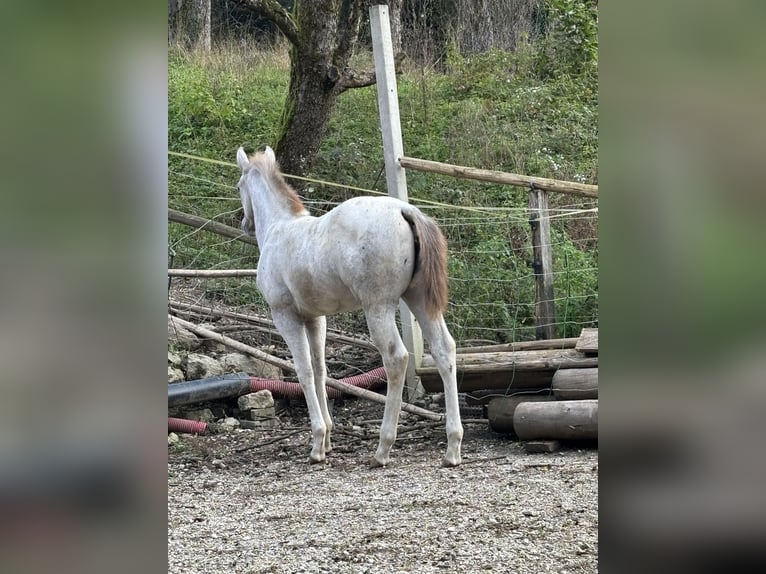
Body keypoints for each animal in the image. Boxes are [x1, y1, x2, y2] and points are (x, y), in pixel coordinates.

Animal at [236, 147, 462, 468]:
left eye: (238, 186)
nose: (245, 223)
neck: (280, 230)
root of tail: (406, 211)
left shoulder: (285, 316)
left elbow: (304, 371)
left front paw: (317, 444)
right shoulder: (315, 319)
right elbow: (320, 370)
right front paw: (328, 440)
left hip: (378, 307)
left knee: (396, 358)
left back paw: (382, 448)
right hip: (419, 301)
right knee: (445, 351)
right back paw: (452, 448)